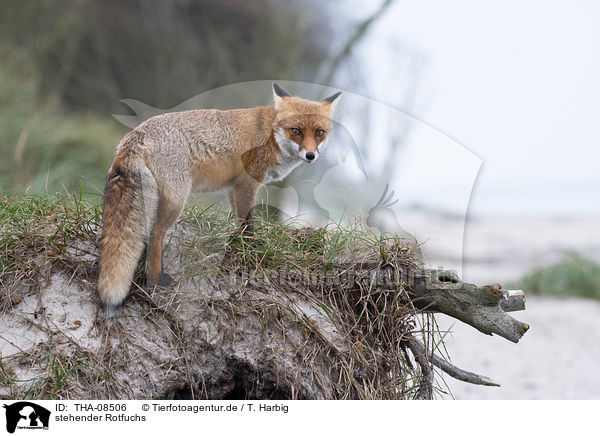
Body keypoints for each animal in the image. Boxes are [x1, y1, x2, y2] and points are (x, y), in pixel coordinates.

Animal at [98, 82, 342, 314]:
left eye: (319, 132)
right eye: (296, 130)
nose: (310, 155)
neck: (271, 135)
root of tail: (133, 136)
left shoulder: (233, 187)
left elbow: (239, 222)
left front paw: (237, 244)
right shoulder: (248, 183)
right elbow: (248, 222)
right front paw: (250, 248)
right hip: (177, 200)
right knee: (156, 235)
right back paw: (159, 280)